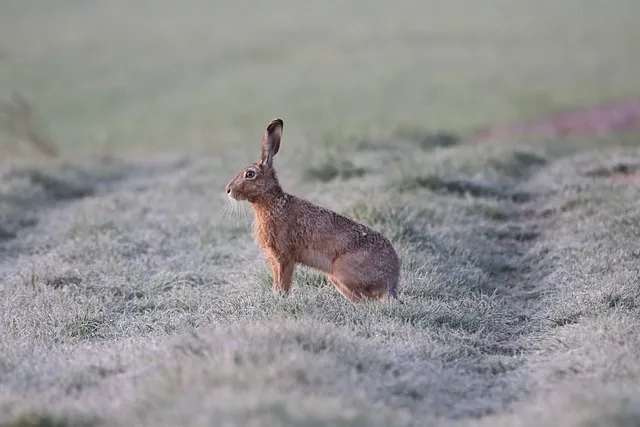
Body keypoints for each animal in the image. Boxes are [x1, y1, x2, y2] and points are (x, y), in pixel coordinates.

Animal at [225, 118, 401, 303]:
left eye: (250, 174)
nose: (228, 190)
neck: (271, 202)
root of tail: (391, 281)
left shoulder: (284, 256)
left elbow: (283, 283)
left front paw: (280, 298)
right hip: (337, 279)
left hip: (343, 273)